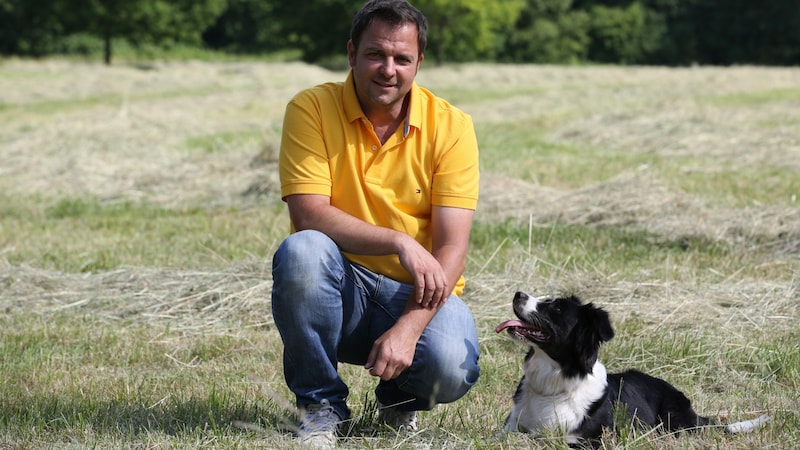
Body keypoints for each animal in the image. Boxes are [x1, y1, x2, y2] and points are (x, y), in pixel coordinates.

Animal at [494, 292, 768, 446]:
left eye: (556, 308)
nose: (518, 293)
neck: (551, 384)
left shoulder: (583, 441)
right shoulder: (510, 428)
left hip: (675, 420)